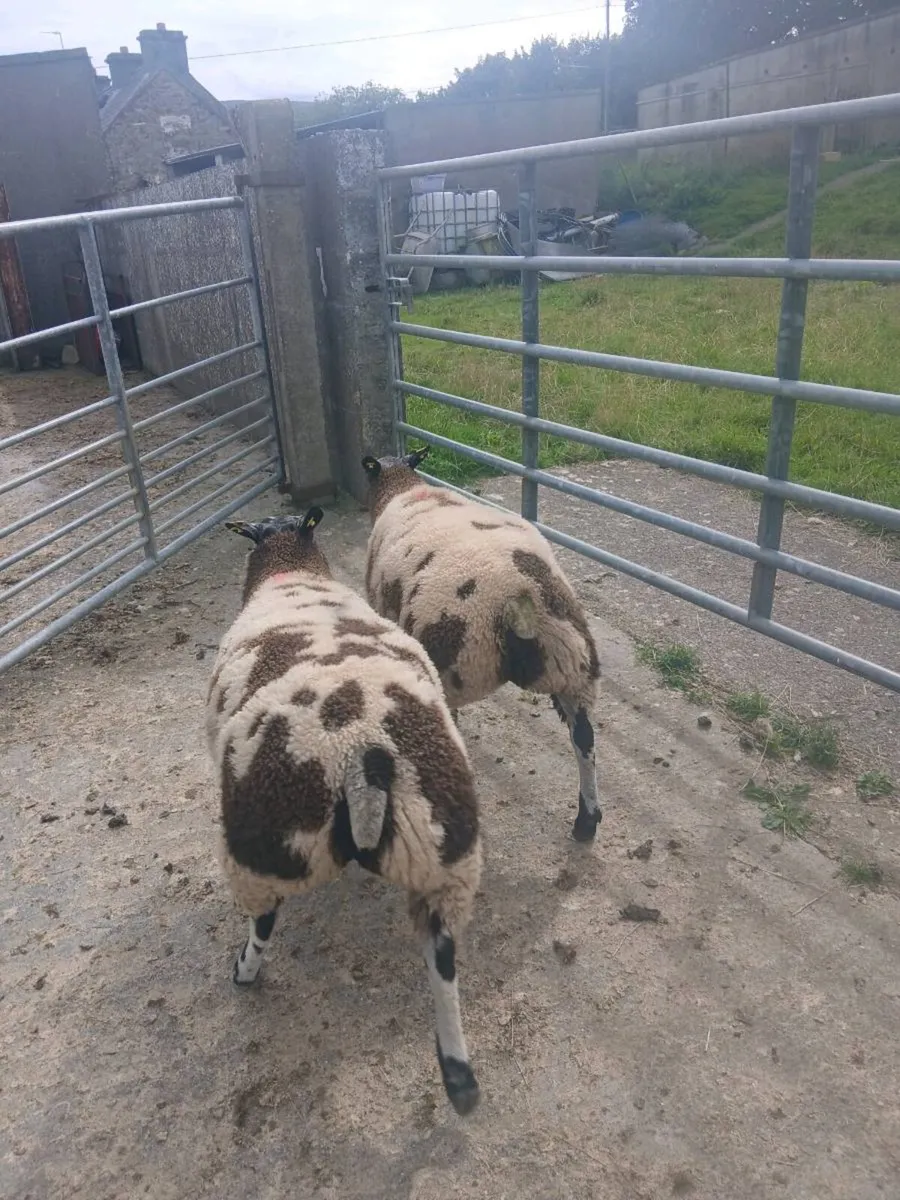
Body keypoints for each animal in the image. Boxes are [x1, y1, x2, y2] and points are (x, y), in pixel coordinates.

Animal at [206, 506, 483, 1115]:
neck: (291, 572)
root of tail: (362, 753)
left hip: (260, 844)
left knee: (264, 921)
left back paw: (244, 972)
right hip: (448, 859)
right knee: (444, 960)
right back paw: (459, 1076)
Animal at [361, 448, 602, 844]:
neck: (401, 488)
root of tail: (520, 597)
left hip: (452, 667)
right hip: (575, 667)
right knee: (584, 739)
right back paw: (586, 821)